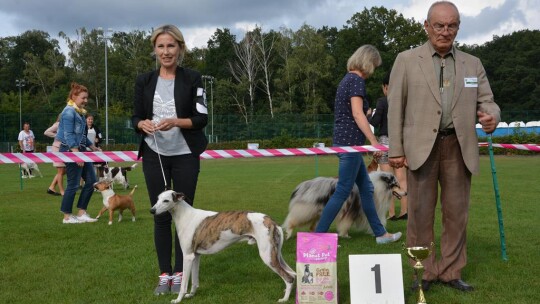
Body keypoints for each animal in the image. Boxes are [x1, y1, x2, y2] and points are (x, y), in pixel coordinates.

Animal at [151, 191, 296, 302]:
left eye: (166, 200)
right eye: (157, 198)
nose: (152, 210)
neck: (185, 215)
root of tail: (272, 221)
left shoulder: (187, 256)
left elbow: (184, 283)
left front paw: (178, 299)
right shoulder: (196, 256)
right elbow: (195, 280)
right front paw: (191, 295)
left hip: (267, 256)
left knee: (288, 277)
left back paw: (284, 299)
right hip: (275, 253)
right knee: (292, 274)